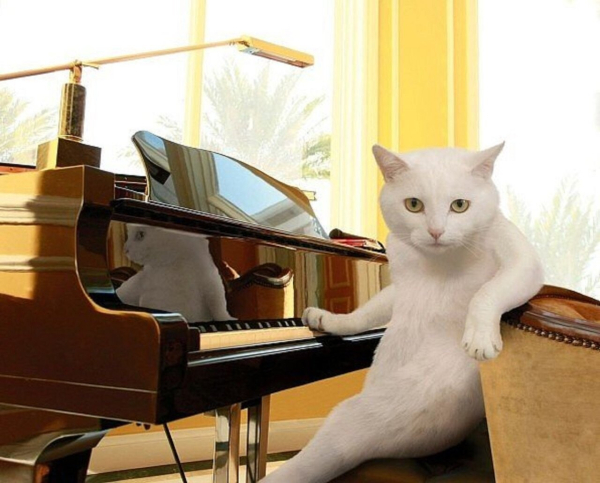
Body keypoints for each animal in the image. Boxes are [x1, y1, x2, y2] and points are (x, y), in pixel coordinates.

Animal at [262, 143, 544, 483]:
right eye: (414, 205)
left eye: (460, 206)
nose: (435, 231)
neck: (435, 266)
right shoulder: (398, 290)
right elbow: (366, 313)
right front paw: (329, 320)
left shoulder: (523, 263)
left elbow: (487, 292)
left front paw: (479, 338)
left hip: (365, 415)